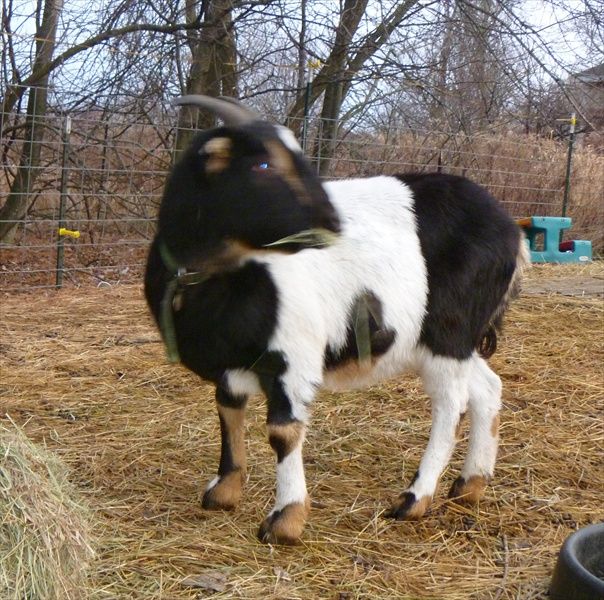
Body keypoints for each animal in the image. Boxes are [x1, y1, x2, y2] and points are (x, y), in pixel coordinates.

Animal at [144, 96, 528, 548]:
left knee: (451, 404)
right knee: (487, 387)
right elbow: (228, 410)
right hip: (453, 338)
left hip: (447, 333)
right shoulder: (232, 361)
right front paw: (224, 491)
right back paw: (470, 485)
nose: (333, 222)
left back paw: (415, 499)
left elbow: (283, 431)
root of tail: (512, 231)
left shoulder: (292, 356)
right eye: (262, 164)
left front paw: (286, 519)